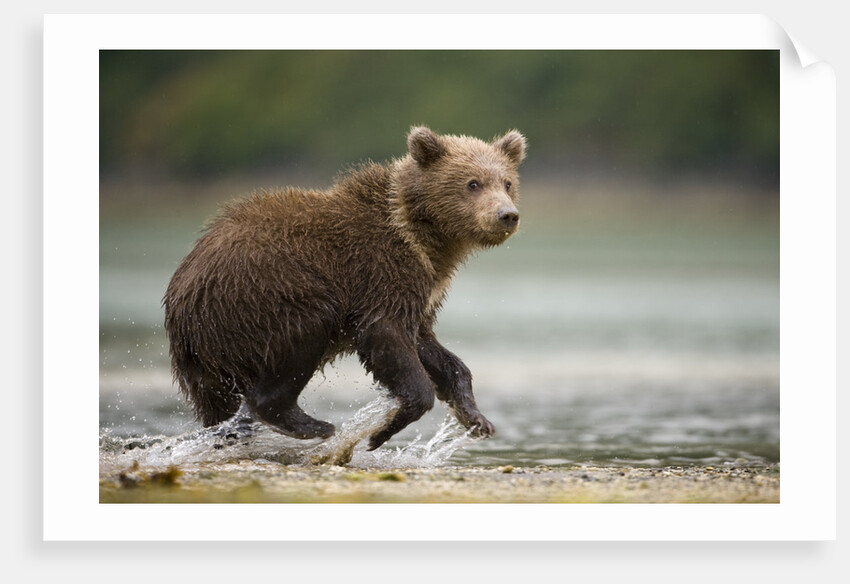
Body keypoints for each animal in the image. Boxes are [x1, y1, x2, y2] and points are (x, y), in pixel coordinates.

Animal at [163, 126, 527, 450]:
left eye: (507, 182)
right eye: (472, 183)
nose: (506, 215)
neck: (422, 235)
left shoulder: (423, 289)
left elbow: (430, 346)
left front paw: (476, 418)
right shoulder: (380, 269)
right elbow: (385, 335)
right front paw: (380, 432)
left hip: (214, 349)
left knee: (219, 403)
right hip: (260, 295)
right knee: (306, 330)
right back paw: (313, 425)